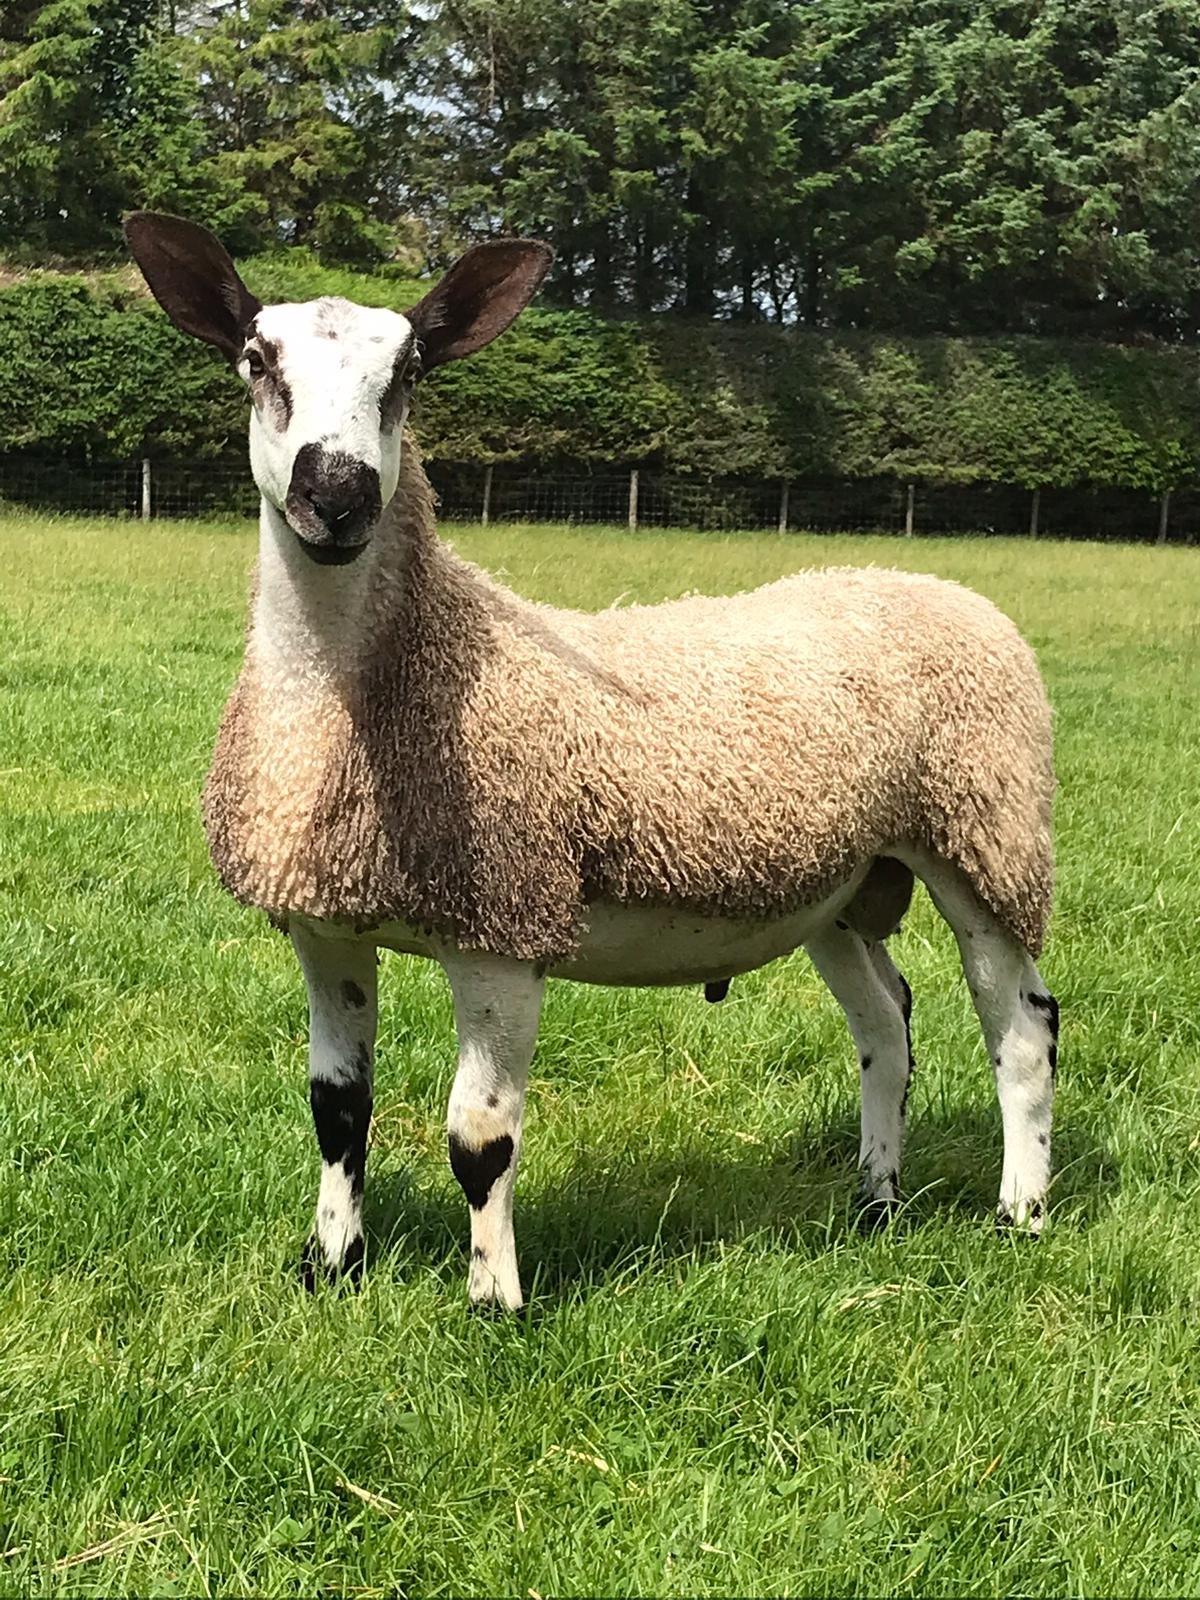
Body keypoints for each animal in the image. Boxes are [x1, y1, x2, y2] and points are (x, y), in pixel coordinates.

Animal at [124, 216, 1062, 1312]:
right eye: (255, 360)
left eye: (410, 372)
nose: (339, 494)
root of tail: (943, 587)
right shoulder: (324, 926)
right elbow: (337, 1111)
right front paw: (331, 1270)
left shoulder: (502, 923)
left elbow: (479, 1140)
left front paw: (495, 1301)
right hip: (839, 883)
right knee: (887, 1023)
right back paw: (876, 1202)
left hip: (984, 837)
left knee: (1021, 1028)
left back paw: (1020, 1212)